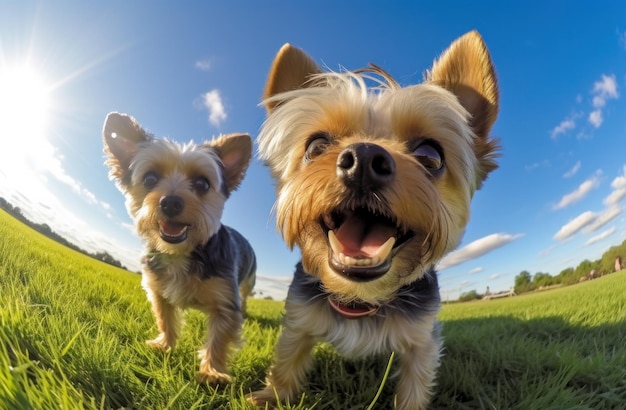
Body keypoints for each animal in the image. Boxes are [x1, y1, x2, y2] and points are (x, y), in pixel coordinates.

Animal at [102, 111, 256, 384]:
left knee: (246, 296)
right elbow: (165, 319)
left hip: (247, 282)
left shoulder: (226, 301)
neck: (181, 253)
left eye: (203, 184)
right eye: (150, 179)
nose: (171, 202)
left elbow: (219, 339)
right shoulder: (157, 289)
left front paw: (213, 372)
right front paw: (164, 345)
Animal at [247, 30, 498, 408]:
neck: (360, 298)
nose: (364, 160)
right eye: (316, 146)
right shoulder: (299, 319)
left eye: (431, 155)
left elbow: (415, 384)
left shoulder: (422, 339)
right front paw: (270, 396)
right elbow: (287, 361)